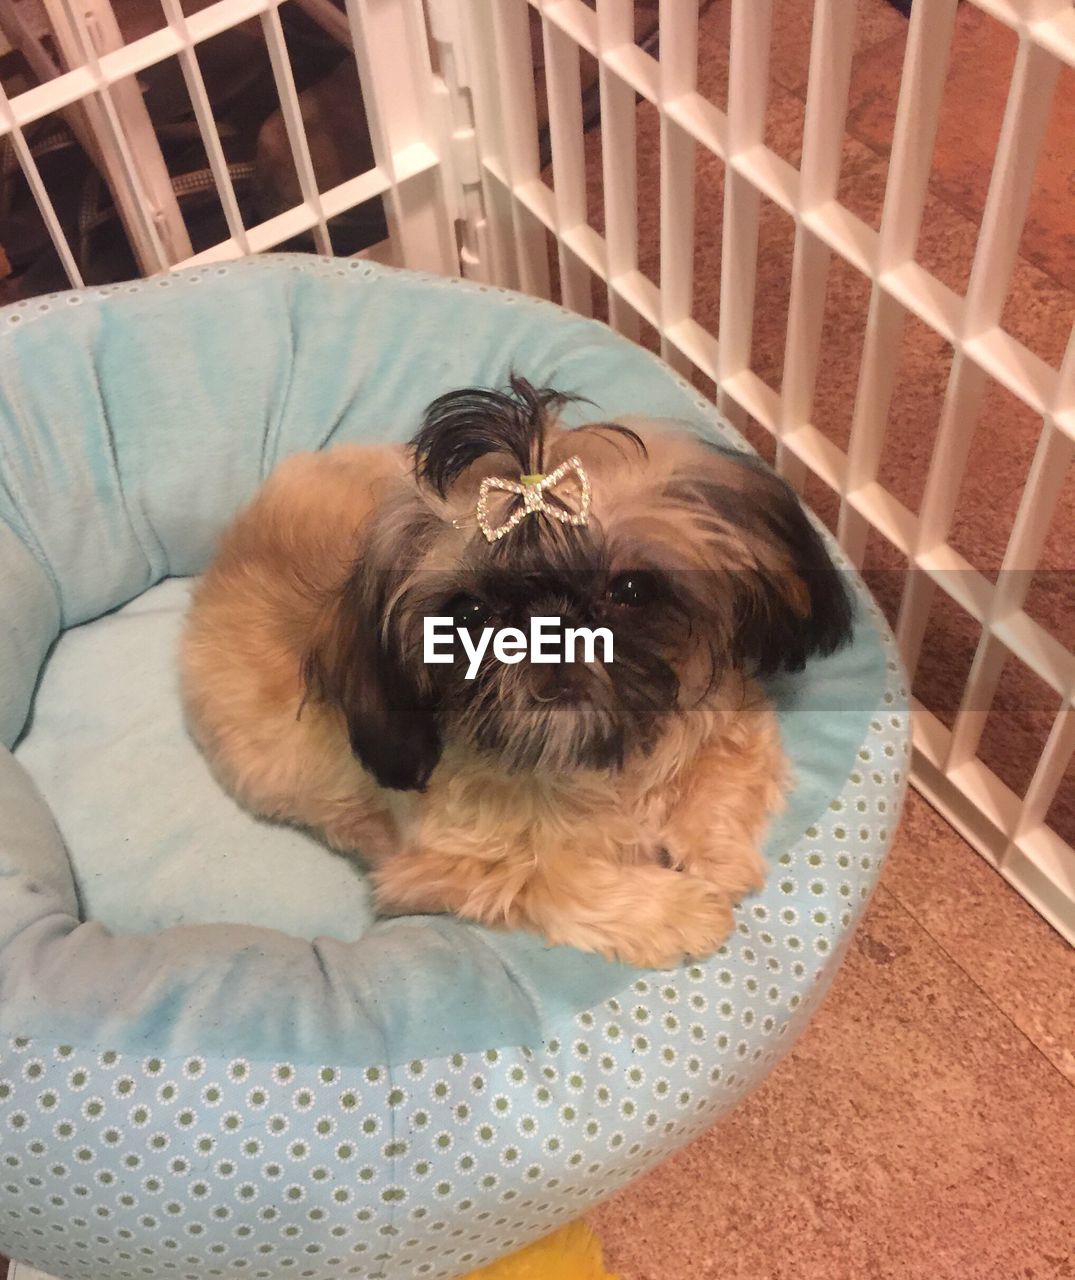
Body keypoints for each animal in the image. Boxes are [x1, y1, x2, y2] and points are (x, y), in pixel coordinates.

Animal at [186, 373, 854, 962]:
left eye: (631, 589)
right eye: (469, 611)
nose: (548, 629)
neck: (594, 769)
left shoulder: (729, 715)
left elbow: (721, 772)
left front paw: (713, 857)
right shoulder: (449, 869)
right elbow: (561, 877)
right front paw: (681, 910)